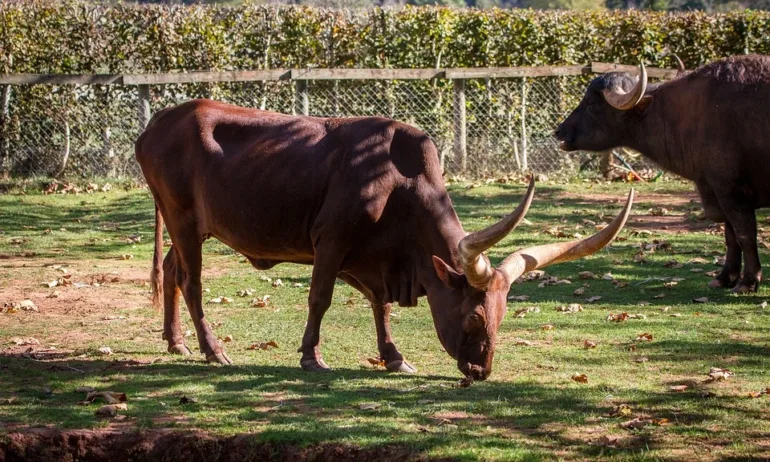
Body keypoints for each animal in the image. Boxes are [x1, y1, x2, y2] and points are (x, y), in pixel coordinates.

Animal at [136, 99, 632, 380]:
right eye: (473, 318)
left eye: (501, 317)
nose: (480, 371)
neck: (400, 181)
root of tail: (158, 122)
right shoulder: (331, 241)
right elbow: (320, 298)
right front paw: (311, 357)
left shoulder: (376, 258)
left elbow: (382, 306)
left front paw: (393, 356)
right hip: (183, 220)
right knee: (192, 282)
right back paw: (213, 350)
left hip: (187, 226)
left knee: (171, 270)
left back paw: (176, 342)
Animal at [556, 54, 768, 292]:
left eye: (592, 104)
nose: (558, 131)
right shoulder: (717, 191)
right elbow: (730, 236)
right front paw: (724, 277)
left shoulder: (731, 192)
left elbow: (745, 235)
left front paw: (748, 282)